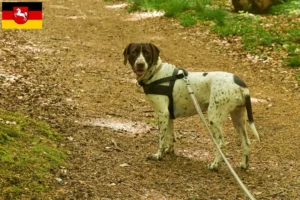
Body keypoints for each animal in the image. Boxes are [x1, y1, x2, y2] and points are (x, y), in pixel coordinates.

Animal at [123, 43, 258, 170]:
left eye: (146, 53)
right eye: (134, 52)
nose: (140, 64)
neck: (157, 73)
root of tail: (241, 84)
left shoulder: (162, 113)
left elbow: (161, 138)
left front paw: (158, 155)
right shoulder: (168, 115)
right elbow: (170, 135)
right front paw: (168, 151)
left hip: (214, 117)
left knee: (221, 143)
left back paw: (214, 165)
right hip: (238, 118)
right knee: (246, 142)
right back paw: (244, 165)